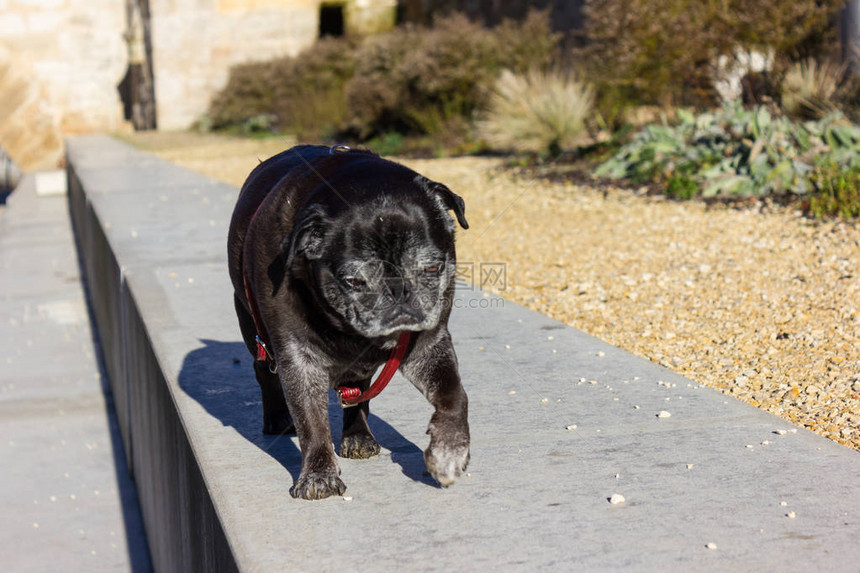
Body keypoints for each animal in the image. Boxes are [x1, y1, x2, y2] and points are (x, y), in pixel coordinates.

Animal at [228, 145, 470, 498]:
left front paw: (448, 452)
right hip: (253, 331)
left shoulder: (429, 347)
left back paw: (359, 436)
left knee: (357, 391)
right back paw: (276, 418)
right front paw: (318, 474)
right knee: (264, 372)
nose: (398, 292)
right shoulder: (300, 361)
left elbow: (453, 395)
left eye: (431, 268)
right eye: (353, 281)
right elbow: (312, 422)